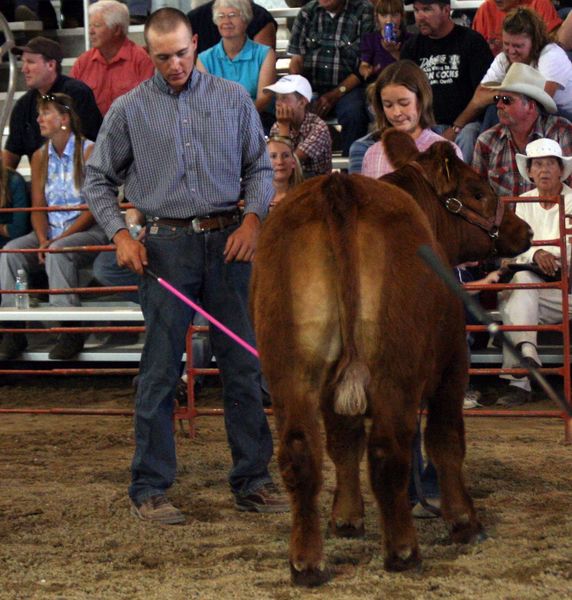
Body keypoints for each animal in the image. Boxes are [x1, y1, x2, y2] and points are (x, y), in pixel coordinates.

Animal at [250, 131, 532, 584]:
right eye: (478, 191)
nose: (522, 230)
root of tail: (339, 187)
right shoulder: (453, 363)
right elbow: (446, 440)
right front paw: (464, 521)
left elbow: (343, 443)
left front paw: (346, 519)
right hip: (393, 370)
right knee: (388, 452)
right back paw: (403, 550)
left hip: (291, 367)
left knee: (301, 452)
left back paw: (307, 562)